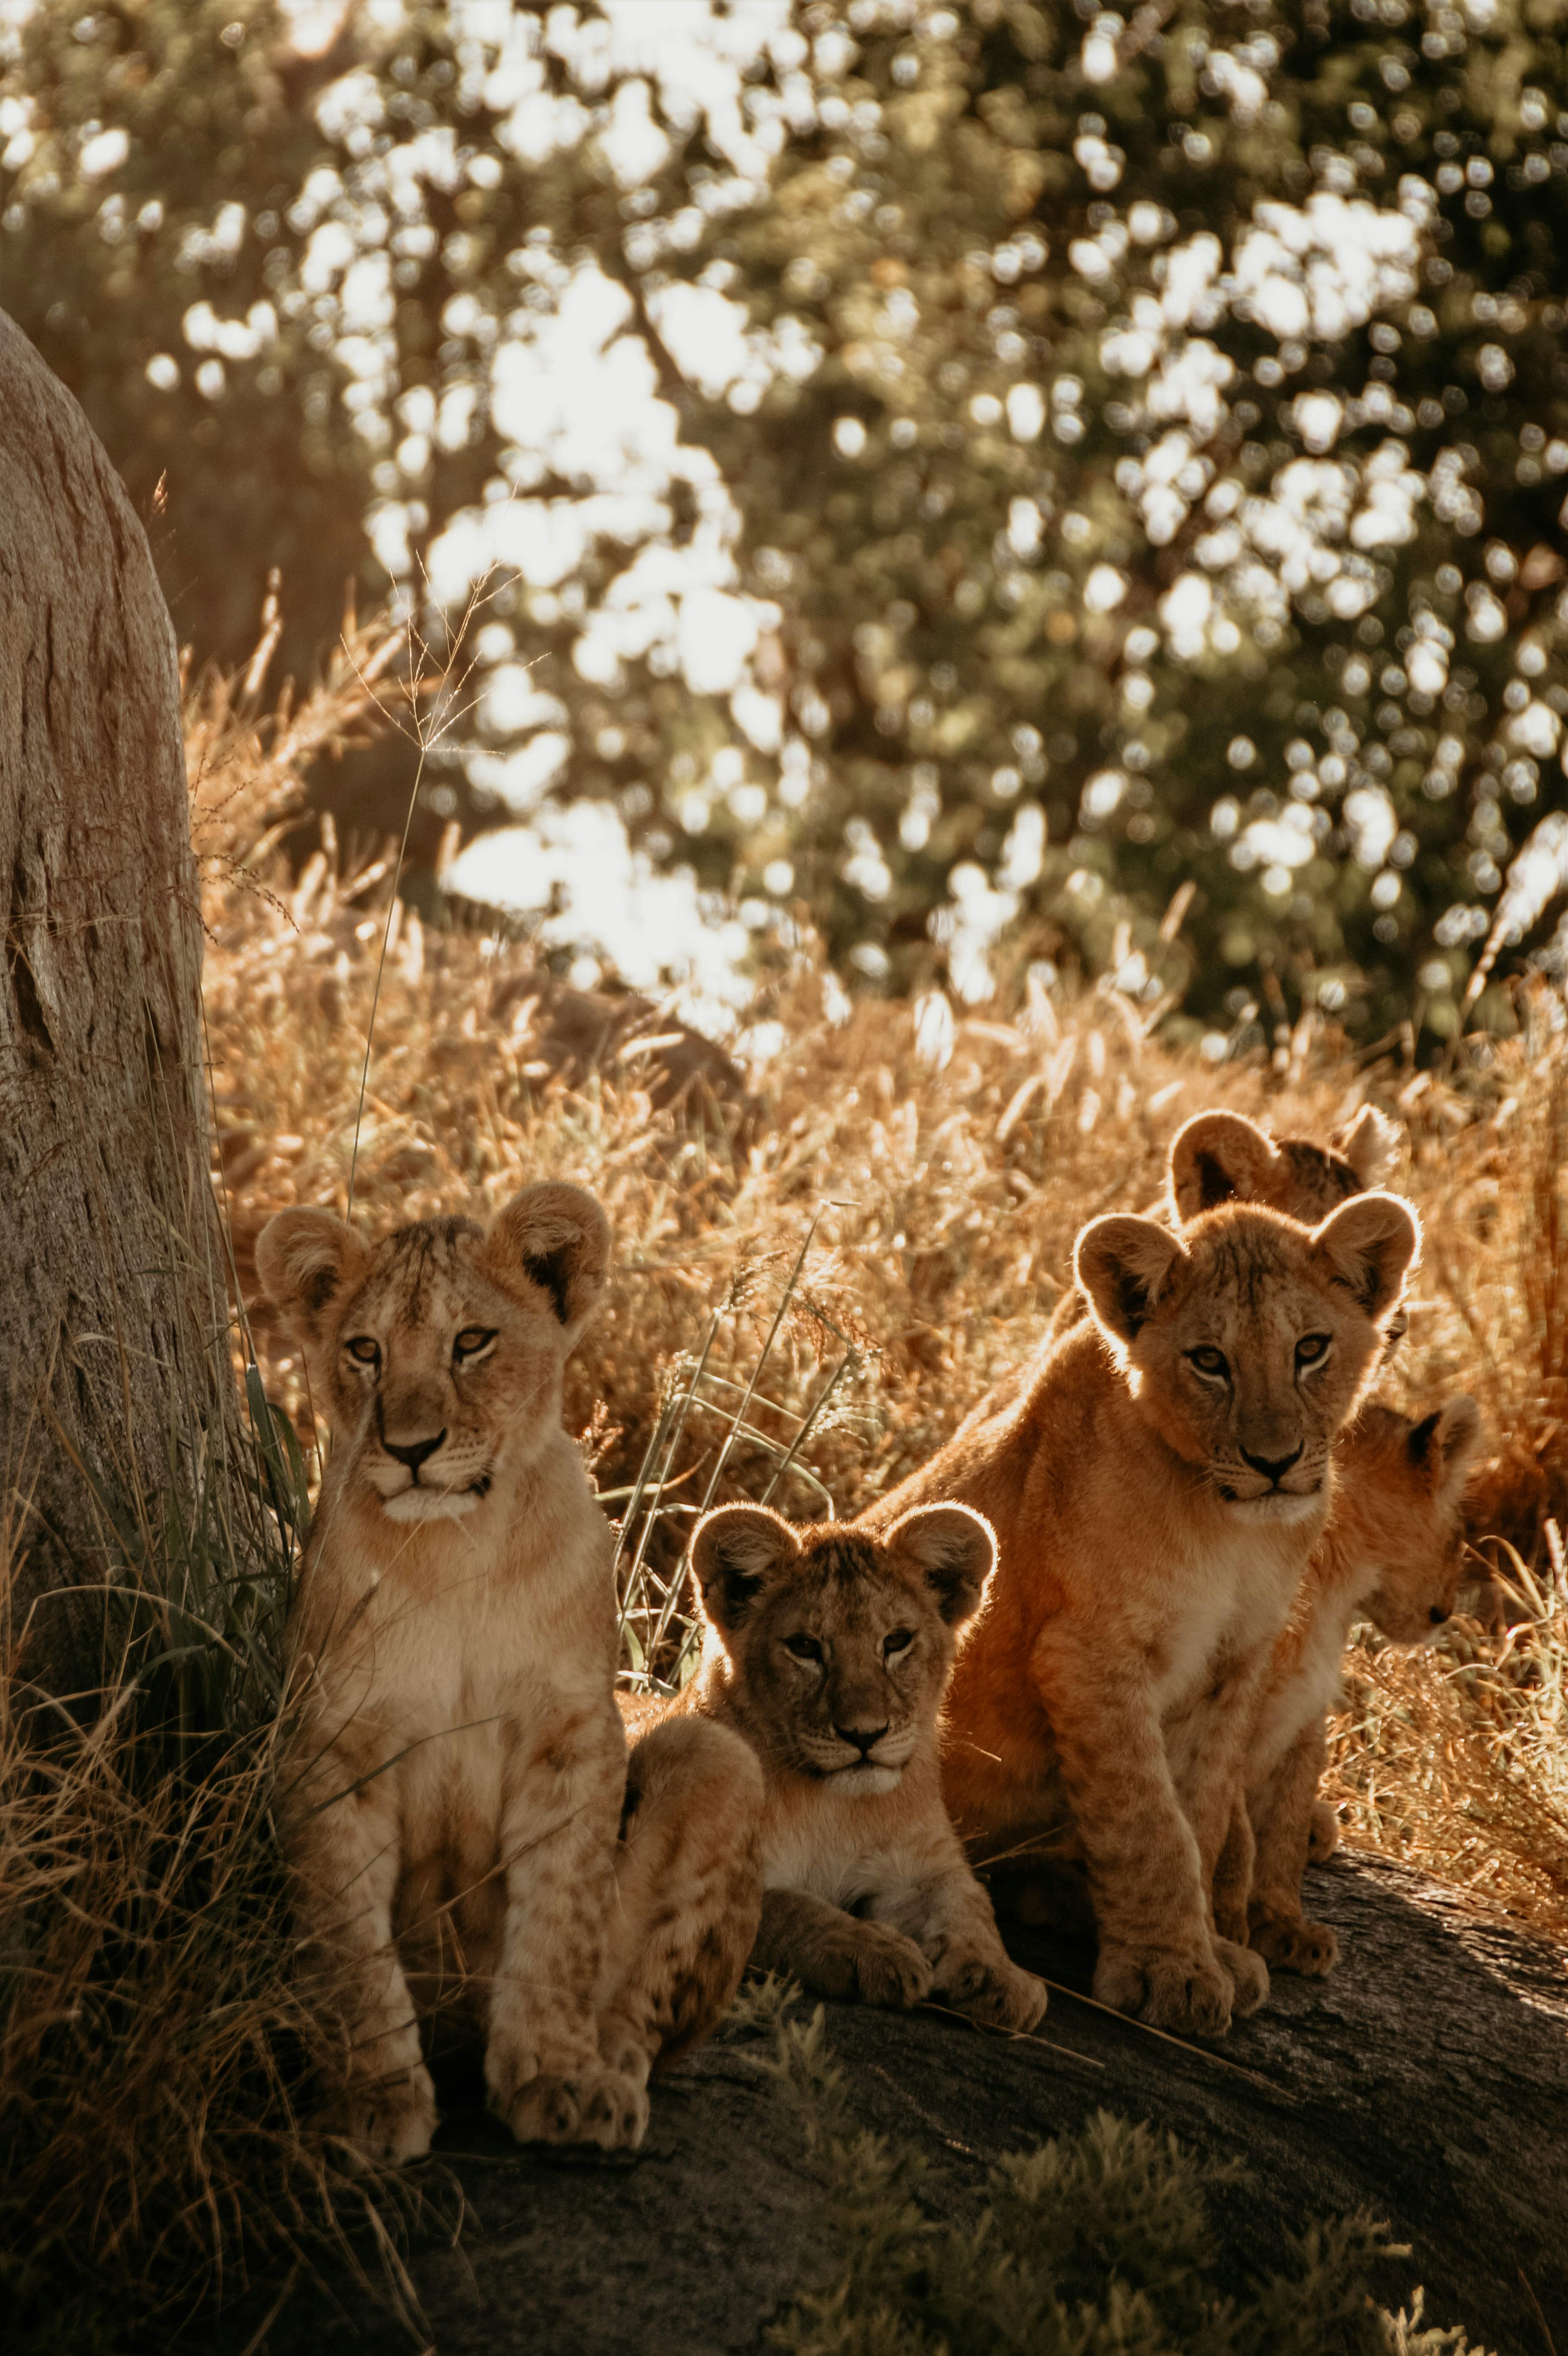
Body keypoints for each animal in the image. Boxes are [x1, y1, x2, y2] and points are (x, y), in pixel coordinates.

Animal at [256, 1183, 763, 2164]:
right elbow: (348, 1936)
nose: (411, 1448)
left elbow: (560, 1916)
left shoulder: (569, 1733)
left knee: (646, 2017)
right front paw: (372, 2097)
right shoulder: (333, 1743)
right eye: (365, 1350)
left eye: (472, 1341)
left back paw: (611, 2070)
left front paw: (556, 2078)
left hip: (724, 1761)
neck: (458, 1545)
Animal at [640, 1501, 1047, 2032]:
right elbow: (787, 1907)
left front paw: (1001, 1978)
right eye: (804, 1647)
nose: (865, 1735)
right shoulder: (676, 1880)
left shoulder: (923, 1865)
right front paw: (875, 1951)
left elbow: (969, 1907)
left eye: (896, 1641)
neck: (833, 1805)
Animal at [858, 1191, 1420, 2038]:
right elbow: (1148, 1824)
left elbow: (1201, 1813)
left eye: (1311, 1349)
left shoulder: (1233, 1662)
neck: (1228, 1527)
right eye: (1209, 1360)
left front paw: (1212, 1953)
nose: (1275, 1463)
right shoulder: (1087, 1653)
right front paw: (1170, 1977)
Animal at [1214, 1393, 1480, 1975]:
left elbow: (1282, 1826)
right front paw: (1225, 1933)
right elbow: (1232, 1836)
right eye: (1459, 1539)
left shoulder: (1304, 1711)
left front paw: (1282, 1925)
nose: (1449, 1610)